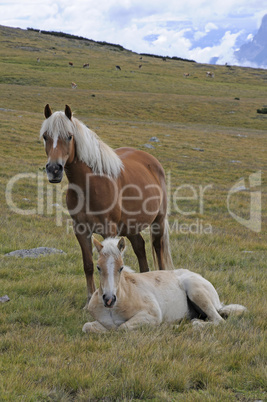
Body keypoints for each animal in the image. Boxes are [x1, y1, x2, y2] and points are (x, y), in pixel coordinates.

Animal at [40, 105, 173, 304]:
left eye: (69, 136)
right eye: (45, 136)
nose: (54, 169)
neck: (91, 185)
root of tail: (152, 161)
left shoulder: (109, 230)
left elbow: (112, 264)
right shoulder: (81, 229)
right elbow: (88, 264)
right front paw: (90, 298)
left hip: (158, 221)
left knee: (158, 248)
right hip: (130, 226)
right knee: (140, 248)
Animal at [83, 237, 247, 332]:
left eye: (121, 268)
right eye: (98, 267)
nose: (109, 299)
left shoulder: (152, 314)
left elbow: (122, 327)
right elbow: (88, 327)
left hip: (196, 290)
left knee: (218, 320)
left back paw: (190, 325)